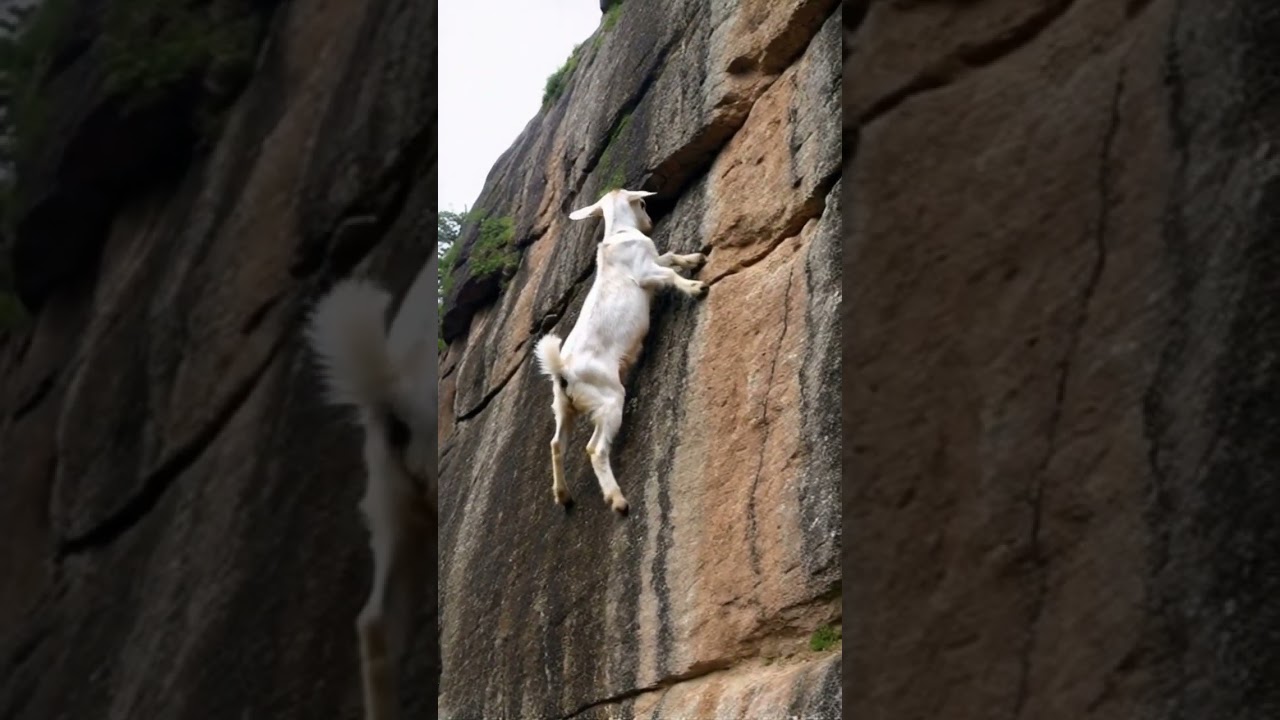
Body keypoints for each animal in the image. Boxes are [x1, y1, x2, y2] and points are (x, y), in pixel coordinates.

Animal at [534, 188, 708, 514]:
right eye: (643, 202)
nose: (650, 222)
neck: (619, 235)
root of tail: (562, 373)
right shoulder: (645, 272)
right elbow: (669, 273)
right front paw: (696, 286)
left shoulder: (653, 260)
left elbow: (670, 256)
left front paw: (696, 257)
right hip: (609, 399)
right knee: (594, 448)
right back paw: (618, 500)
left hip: (563, 408)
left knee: (556, 444)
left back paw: (563, 496)